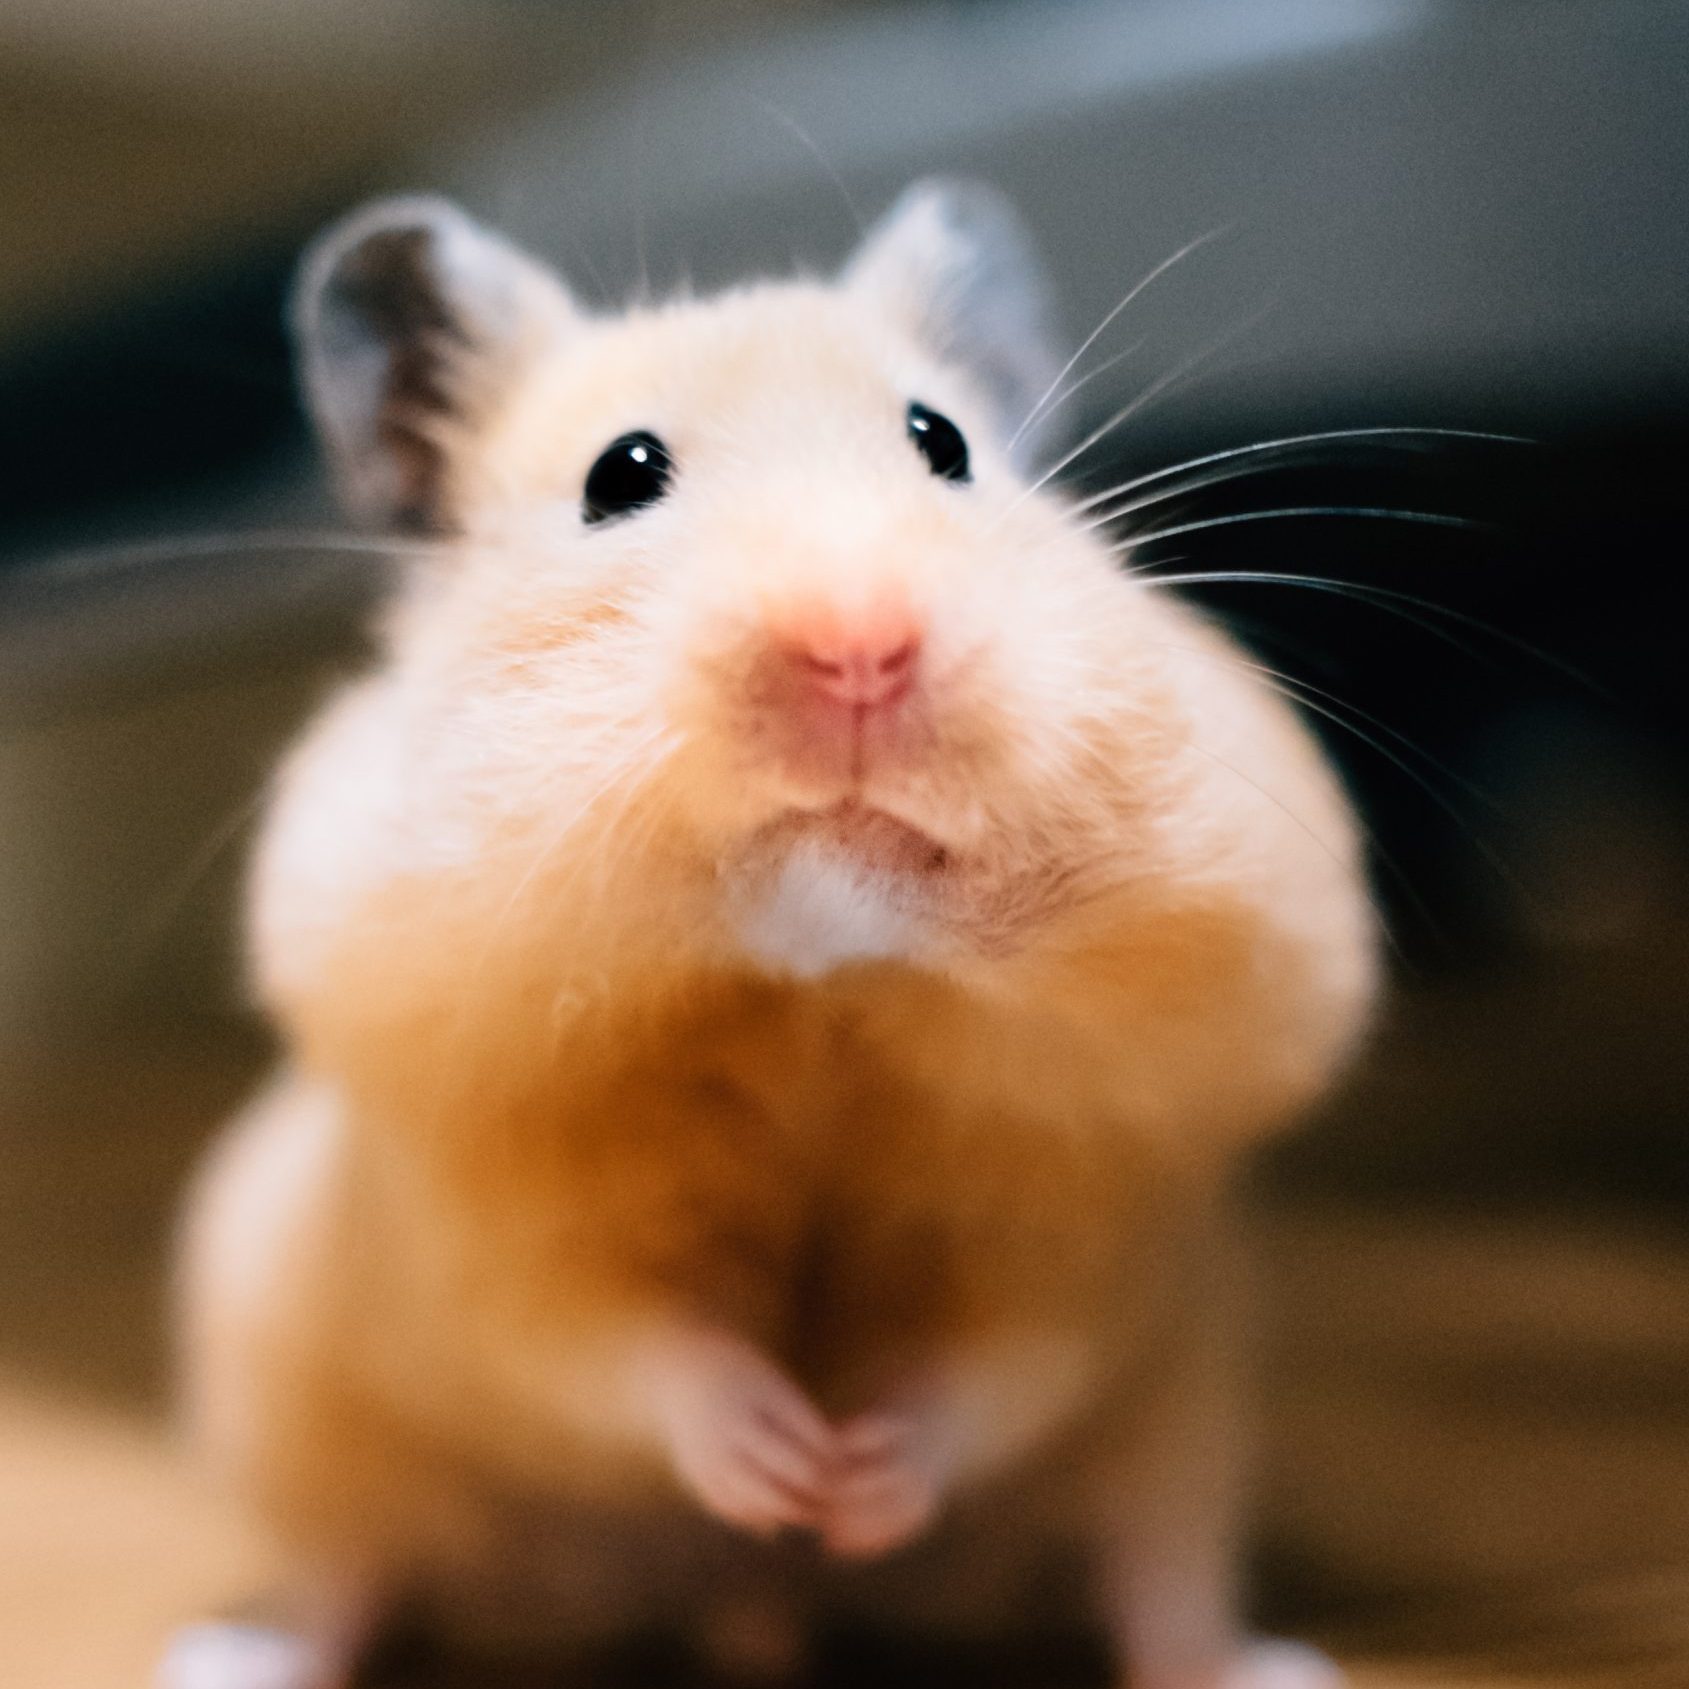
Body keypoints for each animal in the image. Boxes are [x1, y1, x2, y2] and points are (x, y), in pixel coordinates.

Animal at [163, 181, 1378, 1689]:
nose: (859, 645)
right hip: (298, 1414)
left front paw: (855, 1483)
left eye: (941, 443)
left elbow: (996, 1369)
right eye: (620, 475)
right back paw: (227, 1657)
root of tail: (748, 1614)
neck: (819, 980)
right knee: (343, 1575)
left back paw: (1261, 1664)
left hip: (1187, 1419)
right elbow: (623, 1352)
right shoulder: (489, 1224)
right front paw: (785, 1461)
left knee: (1161, 1581)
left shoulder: (1092, 1227)